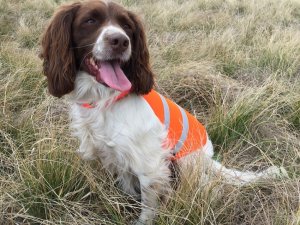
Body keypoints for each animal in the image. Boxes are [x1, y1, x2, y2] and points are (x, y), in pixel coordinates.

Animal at [39, 0, 286, 224]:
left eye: (126, 25)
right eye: (90, 20)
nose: (121, 41)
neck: (105, 99)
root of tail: (208, 157)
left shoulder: (150, 164)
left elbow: (148, 206)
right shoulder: (113, 157)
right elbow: (126, 187)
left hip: (185, 163)